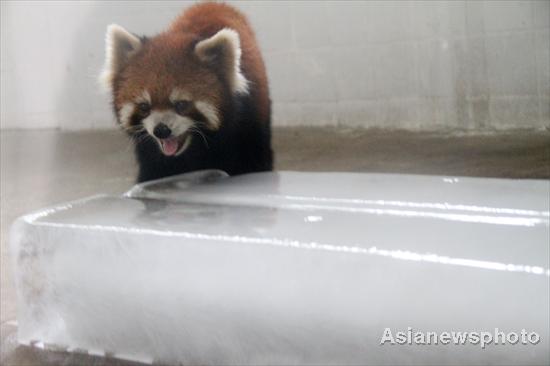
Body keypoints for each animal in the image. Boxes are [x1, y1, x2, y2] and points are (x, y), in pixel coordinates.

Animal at [101, 1, 274, 182]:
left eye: (181, 104)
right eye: (144, 106)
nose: (161, 130)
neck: (193, 148)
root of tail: (214, 4)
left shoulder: (245, 129)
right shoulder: (152, 153)